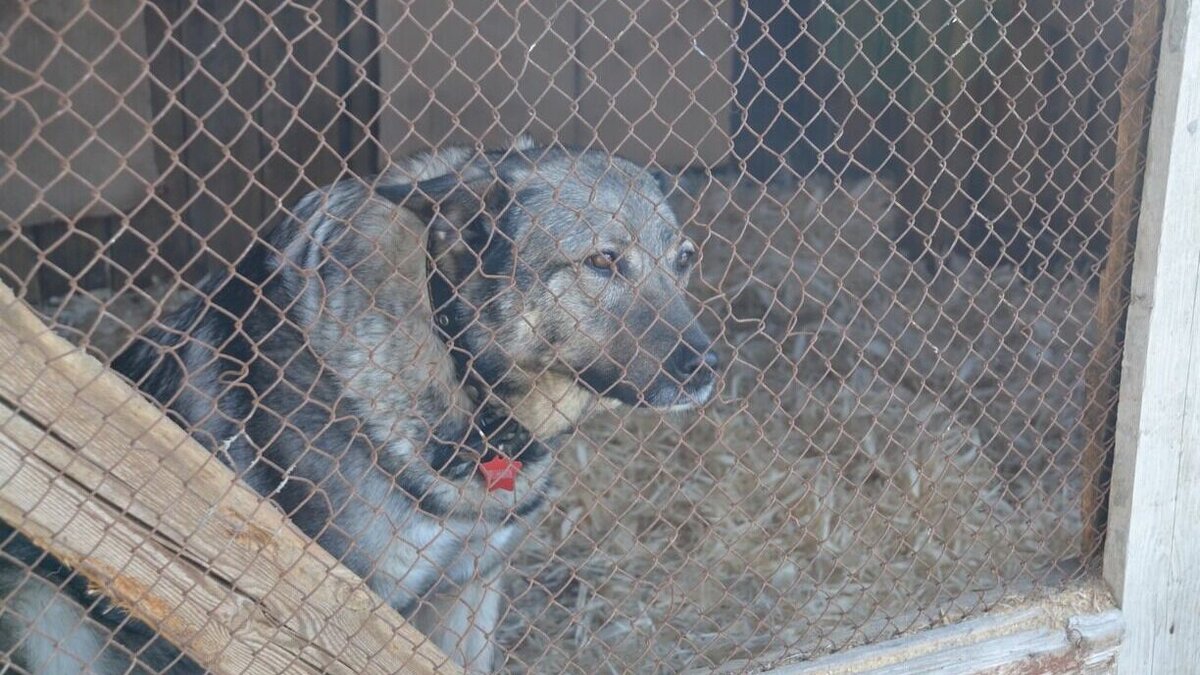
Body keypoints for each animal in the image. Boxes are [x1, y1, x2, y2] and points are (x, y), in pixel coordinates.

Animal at [0, 139, 710, 667]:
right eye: (604, 260)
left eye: (684, 259)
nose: (708, 368)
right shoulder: (337, 608)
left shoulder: (470, 589)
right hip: (46, 612)